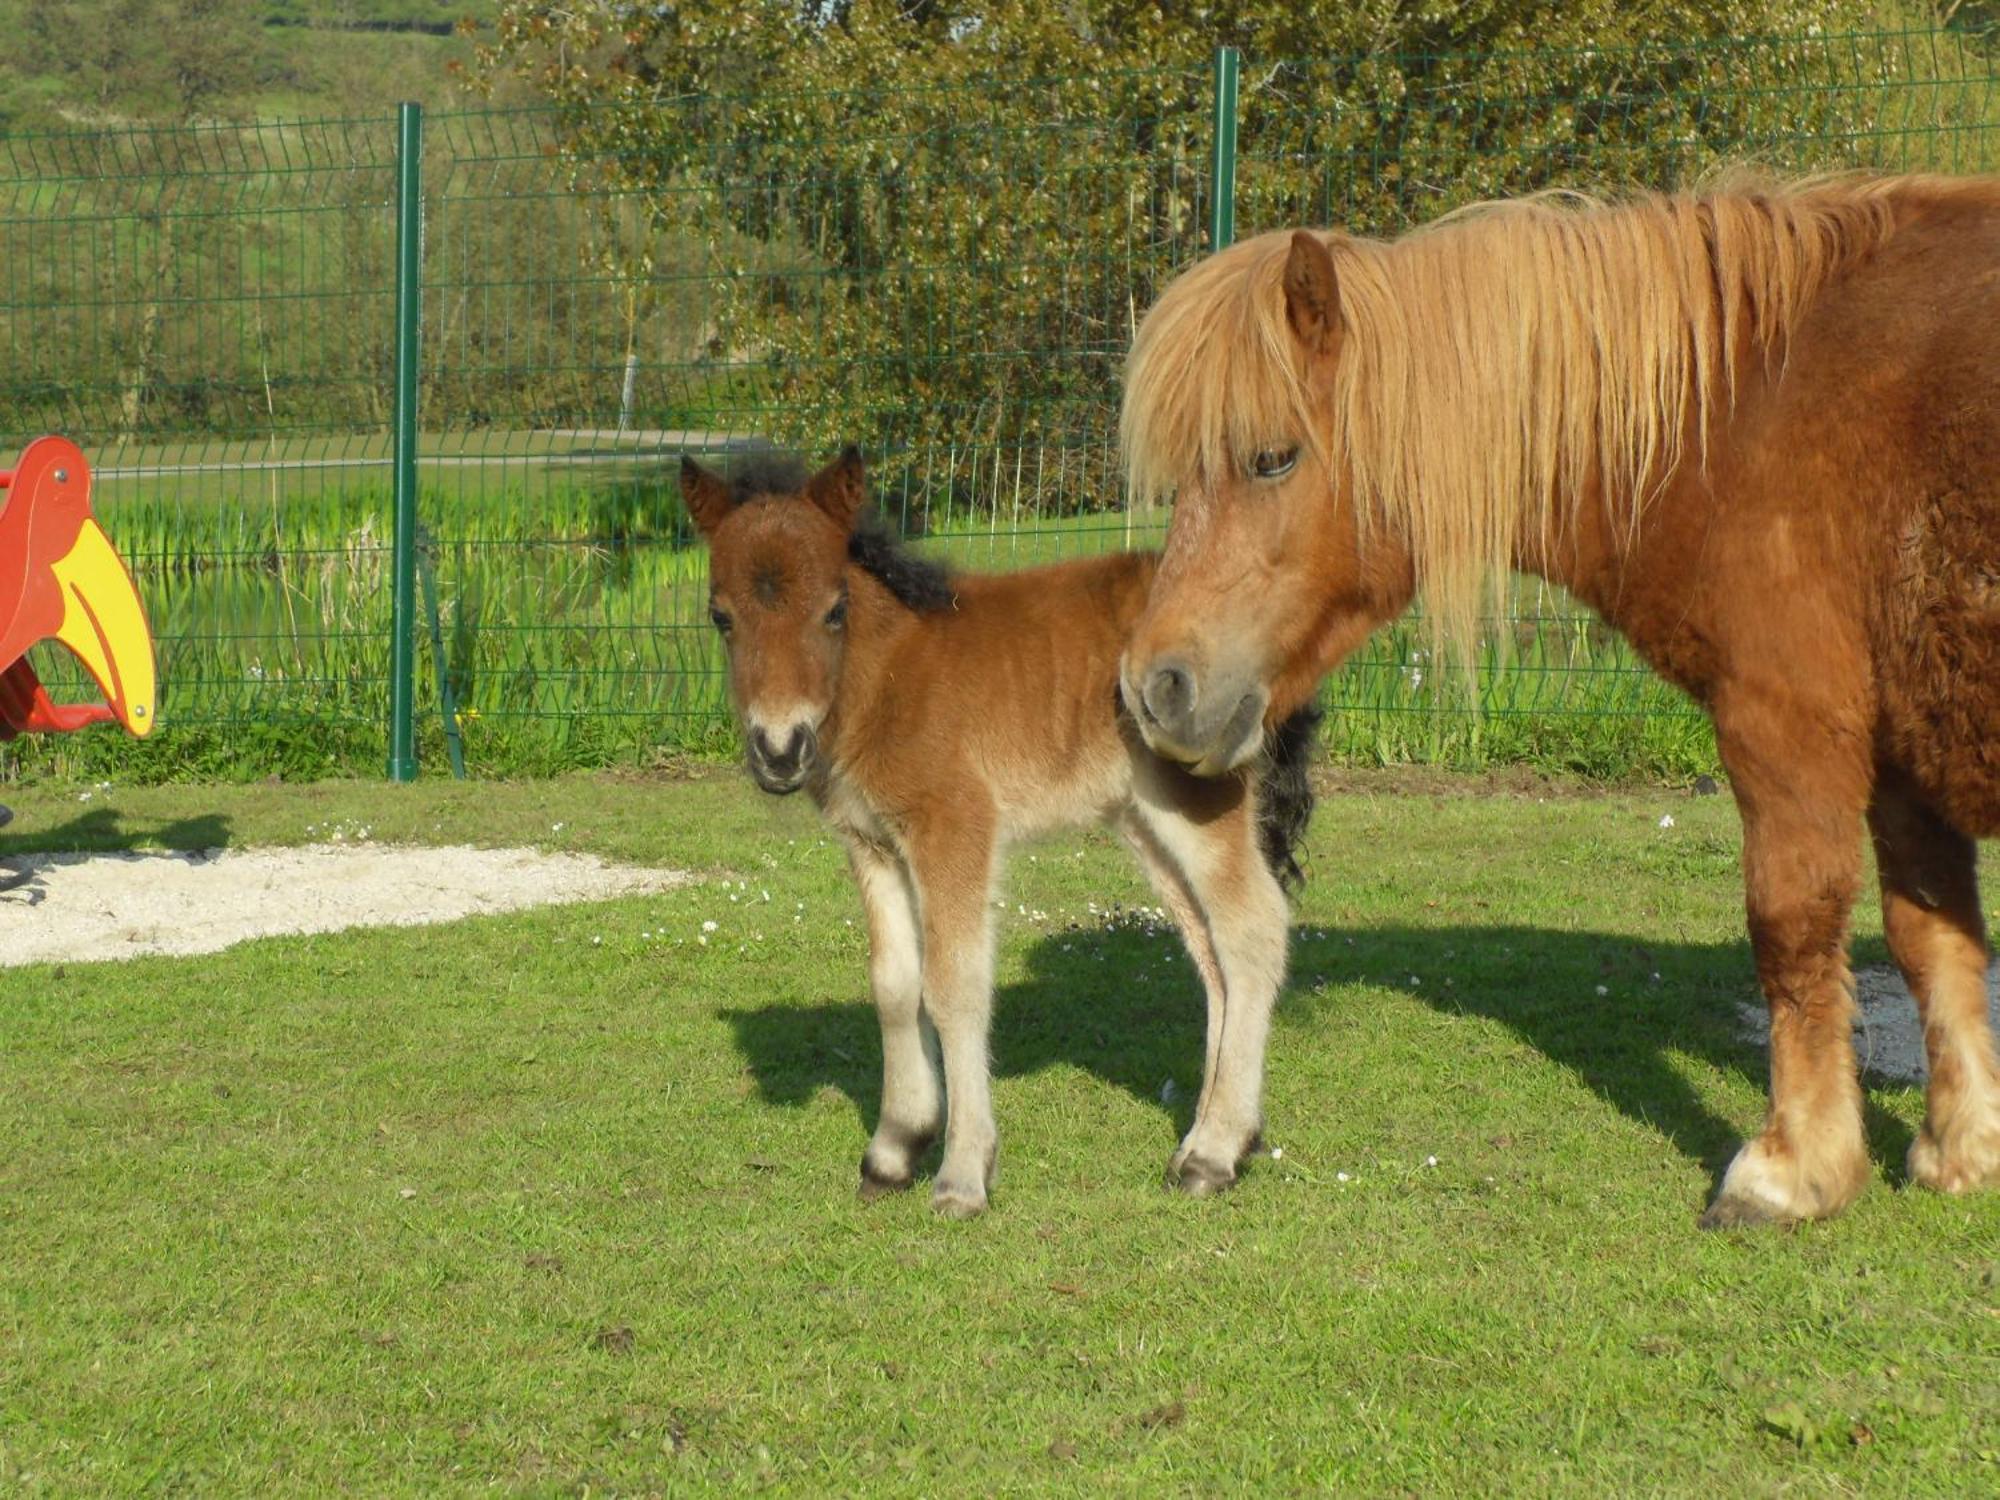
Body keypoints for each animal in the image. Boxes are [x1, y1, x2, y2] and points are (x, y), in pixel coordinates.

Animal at [680, 450, 1320, 1224]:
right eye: (721, 617)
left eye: (833, 610)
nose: (779, 751)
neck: (884, 680)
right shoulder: (872, 844)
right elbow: (894, 983)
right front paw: (895, 1147)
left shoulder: (954, 827)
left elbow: (954, 984)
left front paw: (962, 1172)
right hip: (1145, 819)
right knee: (1211, 949)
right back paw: (1219, 1135)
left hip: (1197, 803)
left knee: (1253, 929)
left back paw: (1213, 1155)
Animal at [1120, 176, 2000, 1232]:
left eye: (1272, 459)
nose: (1156, 689)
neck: (1744, 412)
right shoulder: (1906, 754)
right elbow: (1932, 940)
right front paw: (1960, 1149)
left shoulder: (1787, 724)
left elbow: (1792, 924)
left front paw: (1793, 1169)